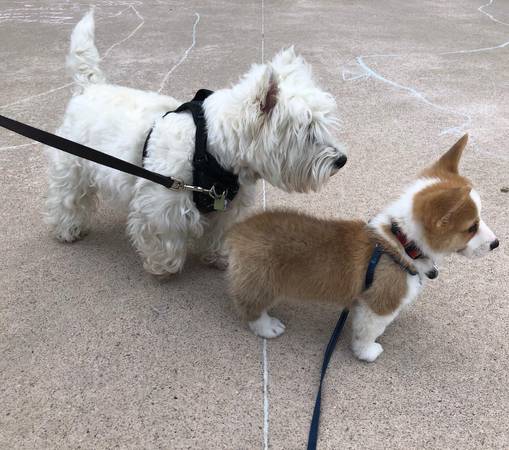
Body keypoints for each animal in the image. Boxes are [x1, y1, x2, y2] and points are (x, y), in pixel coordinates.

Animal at [45, 11, 348, 274]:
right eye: (307, 132)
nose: (342, 161)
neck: (210, 149)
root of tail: (89, 87)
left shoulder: (228, 206)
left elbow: (222, 233)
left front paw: (220, 257)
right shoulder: (162, 204)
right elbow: (164, 240)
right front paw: (162, 267)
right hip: (73, 164)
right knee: (68, 197)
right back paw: (68, 230)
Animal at [225, 134, 496, 362]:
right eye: (471, 227)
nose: (496, 243)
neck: (401, 243)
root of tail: (238, 229)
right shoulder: (377, 308)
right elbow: (367, 333)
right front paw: (367, 352)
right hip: (263, 282)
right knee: (248, 306)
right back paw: (267, 326)